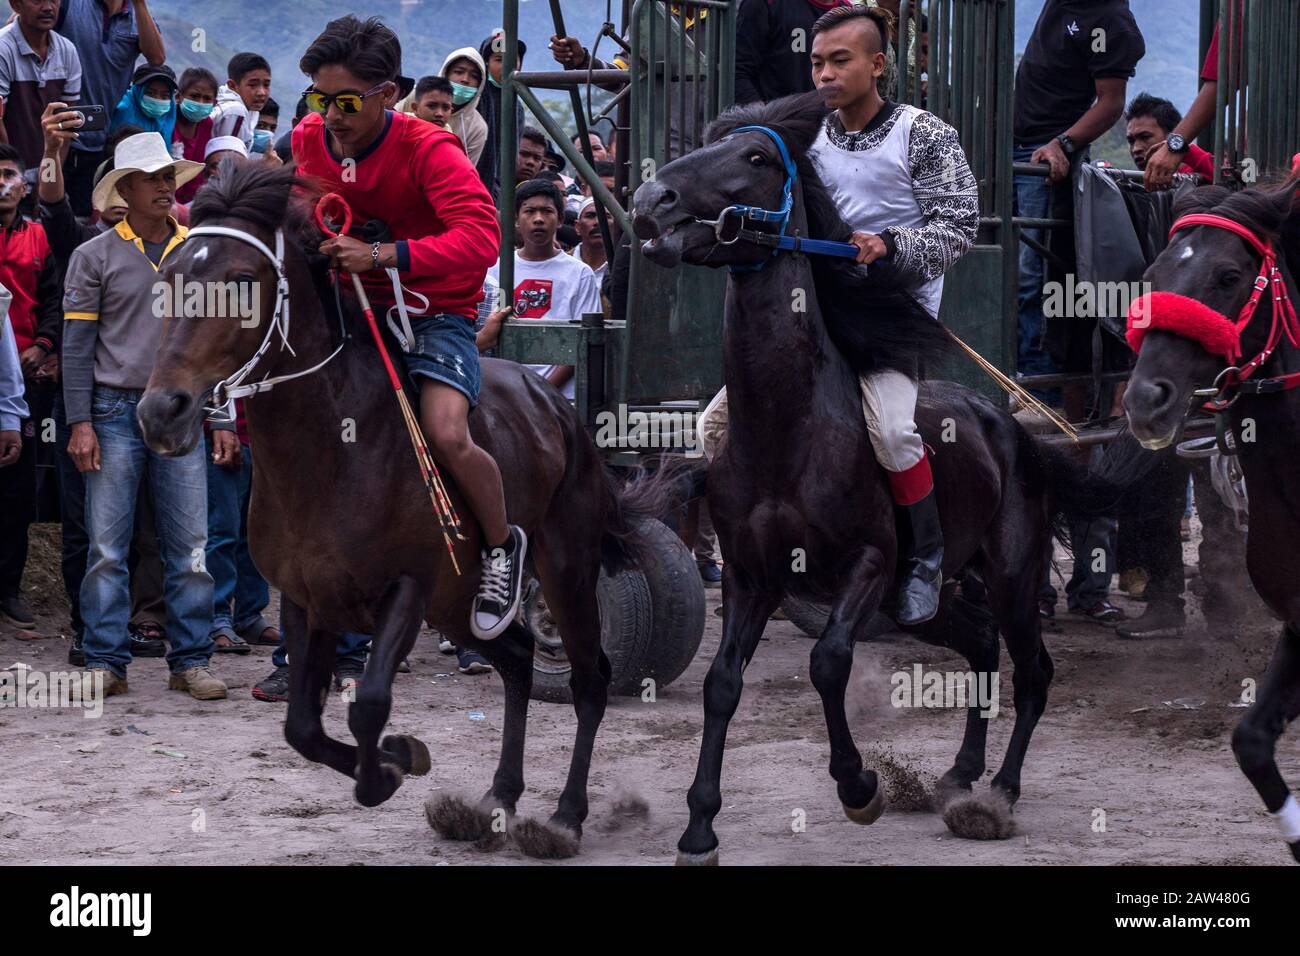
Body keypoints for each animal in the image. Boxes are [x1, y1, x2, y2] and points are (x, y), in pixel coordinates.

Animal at [137, 158, 665, 858]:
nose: (161, 411)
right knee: (518, 660)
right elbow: (301, 727)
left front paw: (388, 765)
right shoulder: (309, 597)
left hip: (565, 571)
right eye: (169, 280)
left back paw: (563, 817)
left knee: (589, 677)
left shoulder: (408, 587)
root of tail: (557, 407)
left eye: (243, 282)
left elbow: (368, 705)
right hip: (459, 605)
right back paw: (495, 801)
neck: (335, 445)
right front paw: (397, 759)